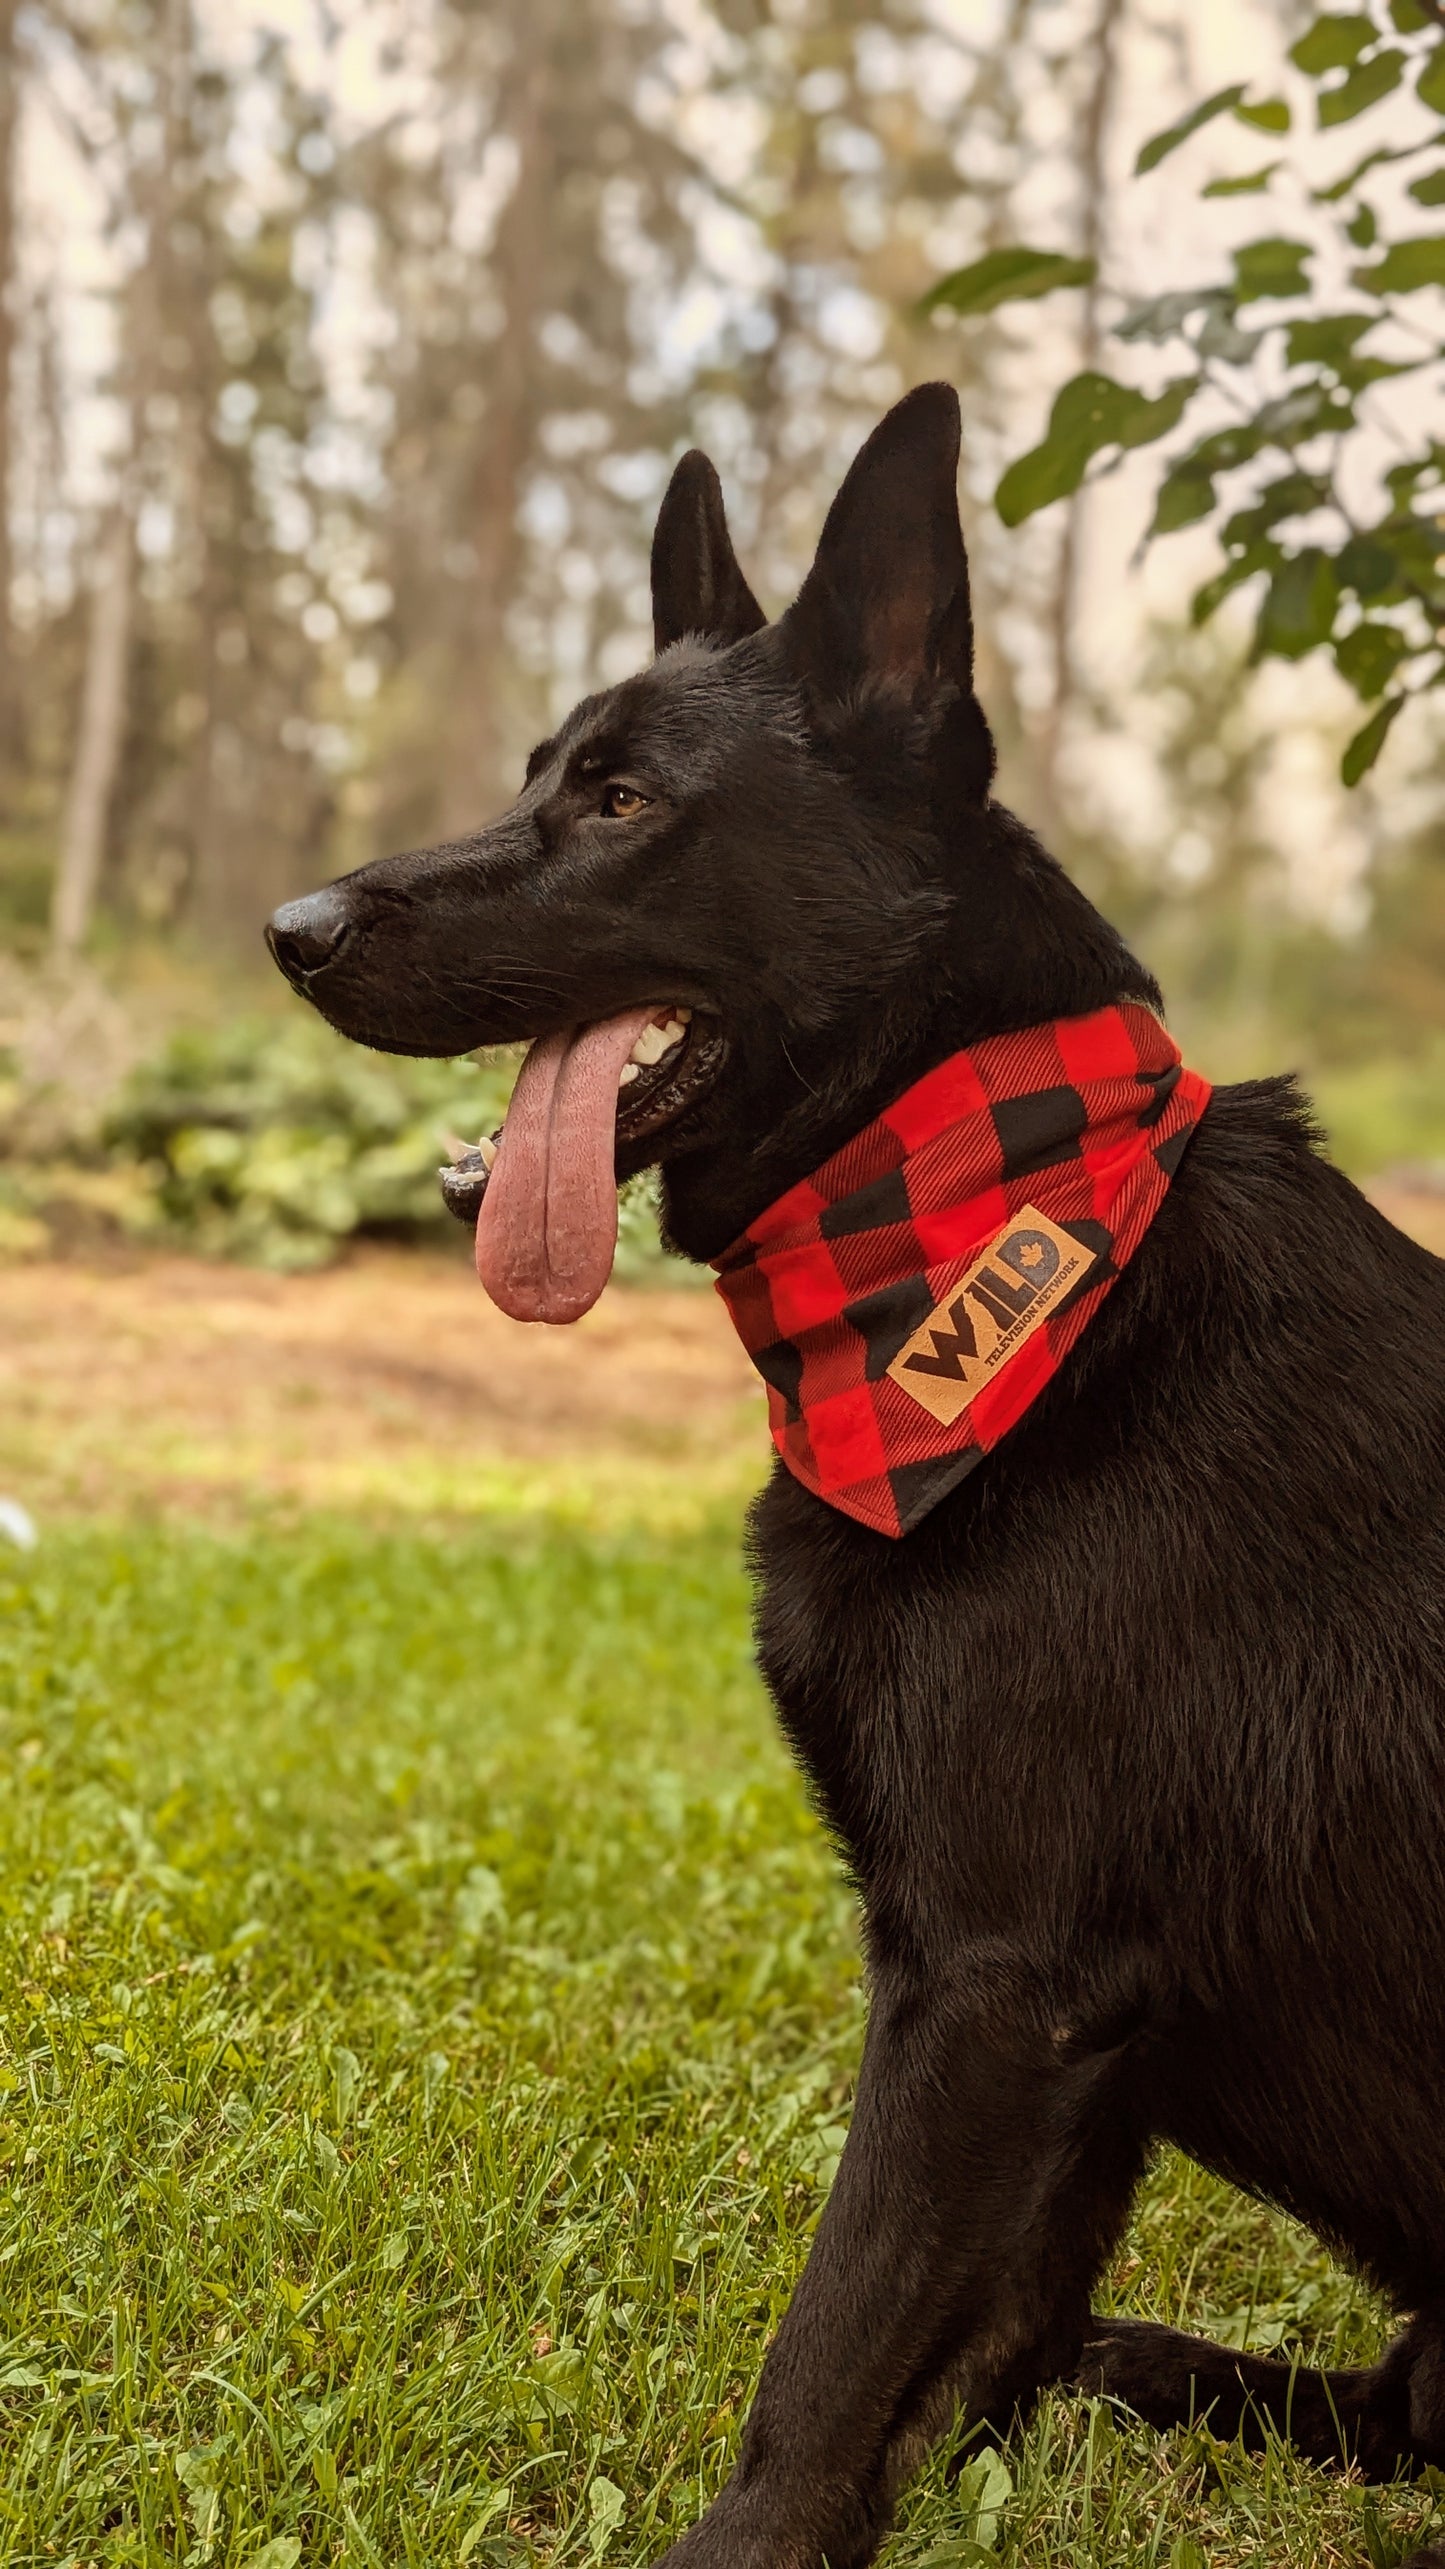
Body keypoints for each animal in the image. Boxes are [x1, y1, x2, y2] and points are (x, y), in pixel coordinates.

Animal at [267, 385, 1439, 2569]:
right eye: (542, 772)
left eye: (621, 800)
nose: (287, 931)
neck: (996, 1246)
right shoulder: (1070, 2037)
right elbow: (977, 2331)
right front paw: (979, 2466)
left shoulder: (985, 1986)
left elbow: (834, 2345)